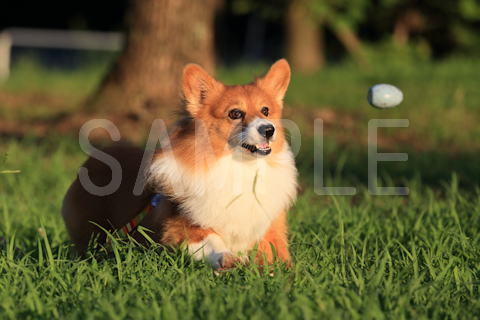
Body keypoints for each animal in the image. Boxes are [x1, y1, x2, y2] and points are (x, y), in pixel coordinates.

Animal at [62, 58, 298, 270]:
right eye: (235, 113)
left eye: (266, 111)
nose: (269, 129)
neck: (240, 168)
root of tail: (98, 155)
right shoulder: (180, 229)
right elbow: (212, 240)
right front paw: (227, 258)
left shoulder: (270, 230)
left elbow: (274, 254)